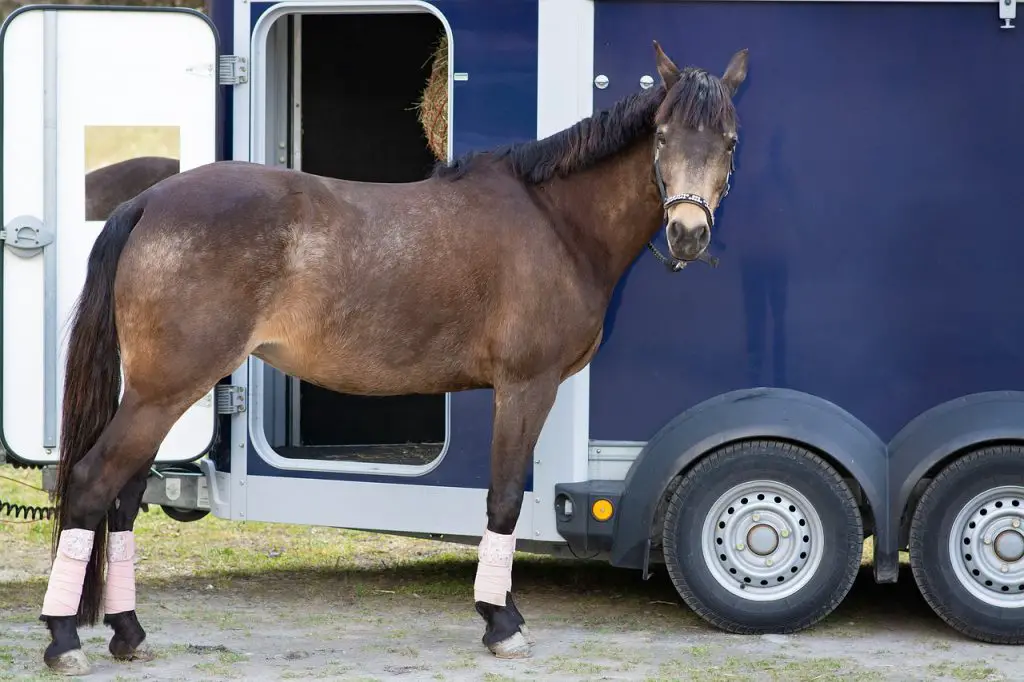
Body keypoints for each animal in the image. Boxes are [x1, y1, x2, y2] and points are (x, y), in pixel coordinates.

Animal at [39, 43, 749, 675]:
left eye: (729, 142)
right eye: (662, 136)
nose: (688, 234)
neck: (554, 222)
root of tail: (149, 202)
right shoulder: (526, 387)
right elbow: (504, 500)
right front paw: (502, 624)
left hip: (159, 395)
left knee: (124, 498)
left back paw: (128, 632)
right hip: (164, 390)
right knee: (93, 484)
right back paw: (64, 639)